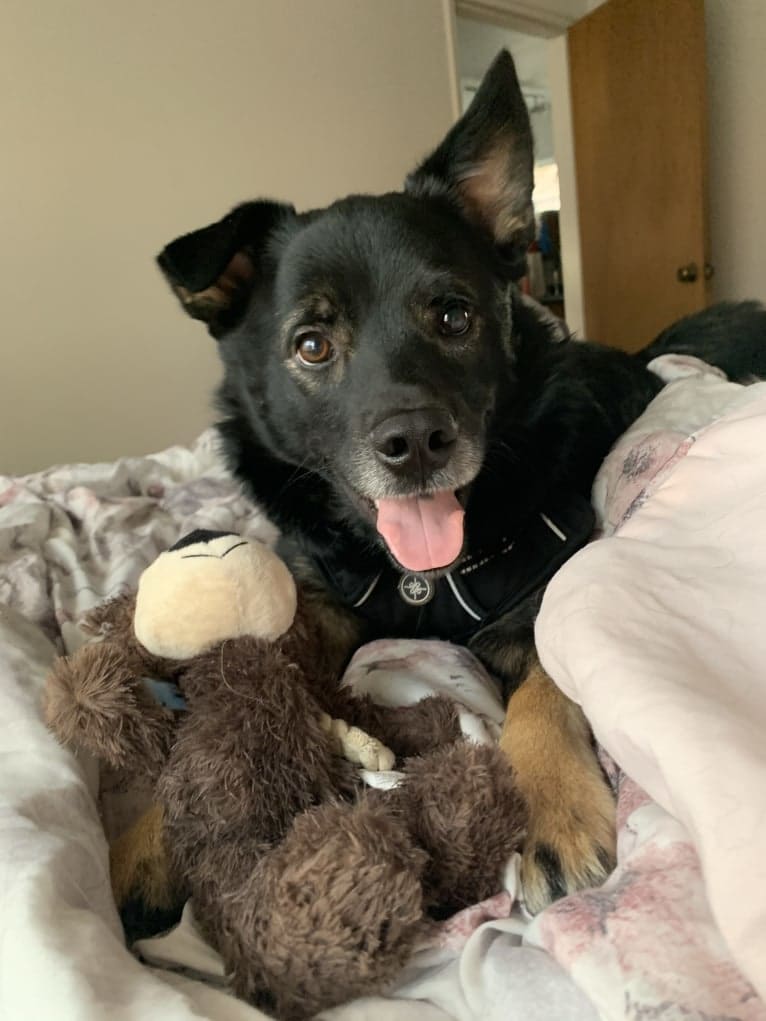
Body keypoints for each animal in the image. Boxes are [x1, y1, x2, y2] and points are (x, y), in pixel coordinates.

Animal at [157, 49, 766, 910]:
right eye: (311, 344)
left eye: (453, 316)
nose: (416, 442)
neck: (424, 583)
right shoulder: (320, 593)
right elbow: (253, 675)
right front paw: (148, 828)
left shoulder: (547, 594)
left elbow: (544, 686)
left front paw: (555, 807)